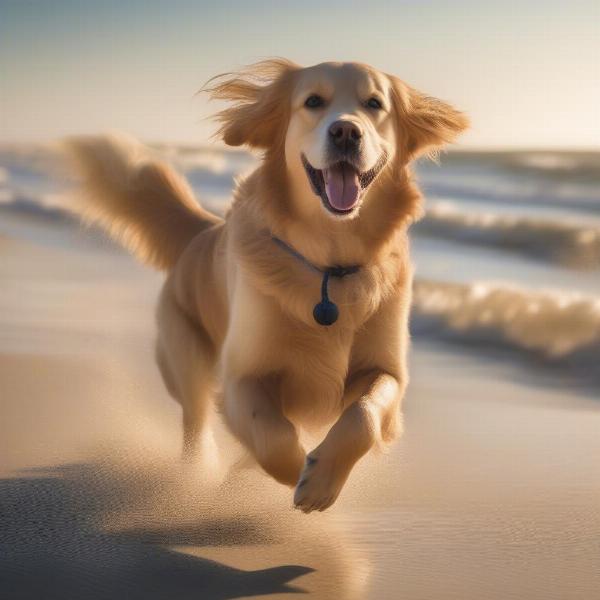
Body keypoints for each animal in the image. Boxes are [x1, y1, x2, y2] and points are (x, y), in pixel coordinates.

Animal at [67, 59, 468, 510]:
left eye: (374, 104)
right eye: (313, 101)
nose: (346, 132)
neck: (327, 266)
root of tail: (200, 232)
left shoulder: (387, 372)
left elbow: (363, 416)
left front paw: (321, 478)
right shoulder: (242, 374)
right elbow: (271, 434)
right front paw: (296, 473)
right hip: (187, 356)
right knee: (196, 421)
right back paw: (204, 473)